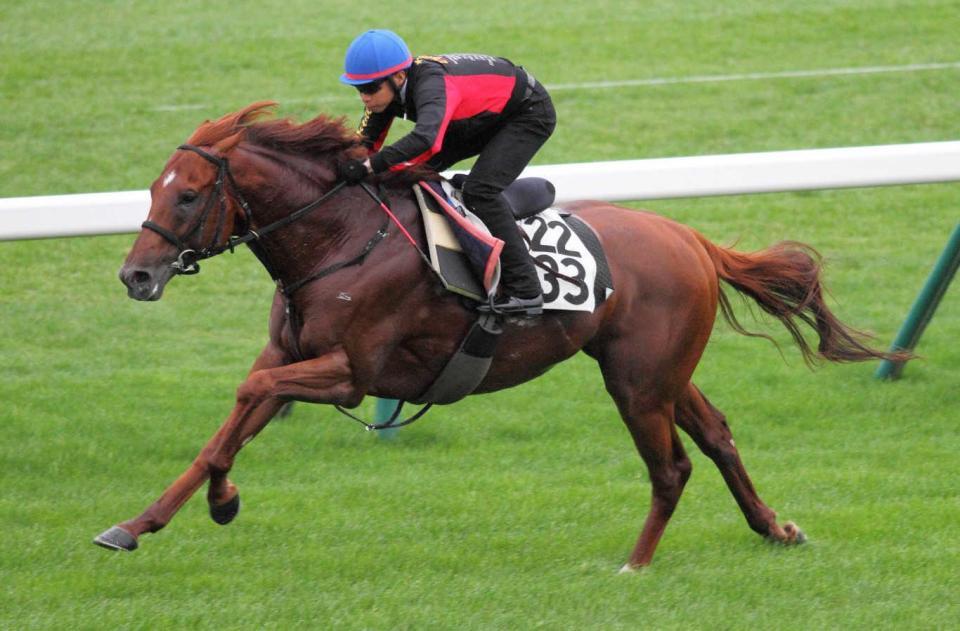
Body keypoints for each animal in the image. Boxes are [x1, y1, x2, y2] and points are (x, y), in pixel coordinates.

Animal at [94, 101, 904, 572]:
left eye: (188, 195)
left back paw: (635, 564)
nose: (136, 275)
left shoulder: (350, 372)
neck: (338, 239)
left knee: (672, 467)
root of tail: (692, 238)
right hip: (662, 371)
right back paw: (774, 528)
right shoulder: (293, 354)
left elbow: (248, 394)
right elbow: (224, 431)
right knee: (719, 435)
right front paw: (143, 521)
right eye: (154, 190)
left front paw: (221, 501)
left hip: (638, 381)